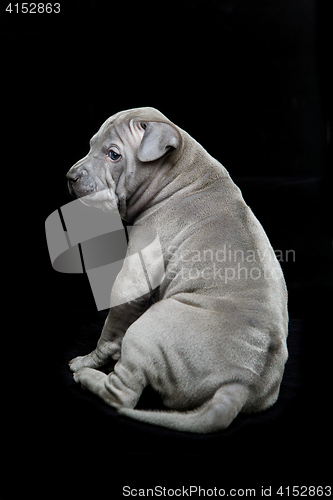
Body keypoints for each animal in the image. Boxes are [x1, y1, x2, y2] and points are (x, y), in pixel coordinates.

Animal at [66, 107, 286, 432]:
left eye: (114, 155)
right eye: (91, 145)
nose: (71, 176)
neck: (181, 171)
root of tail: (240, 384)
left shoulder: (132, 280)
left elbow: (109, 332)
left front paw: (87, 360)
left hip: (149, 329)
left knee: (122, 394)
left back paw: (87, 375)